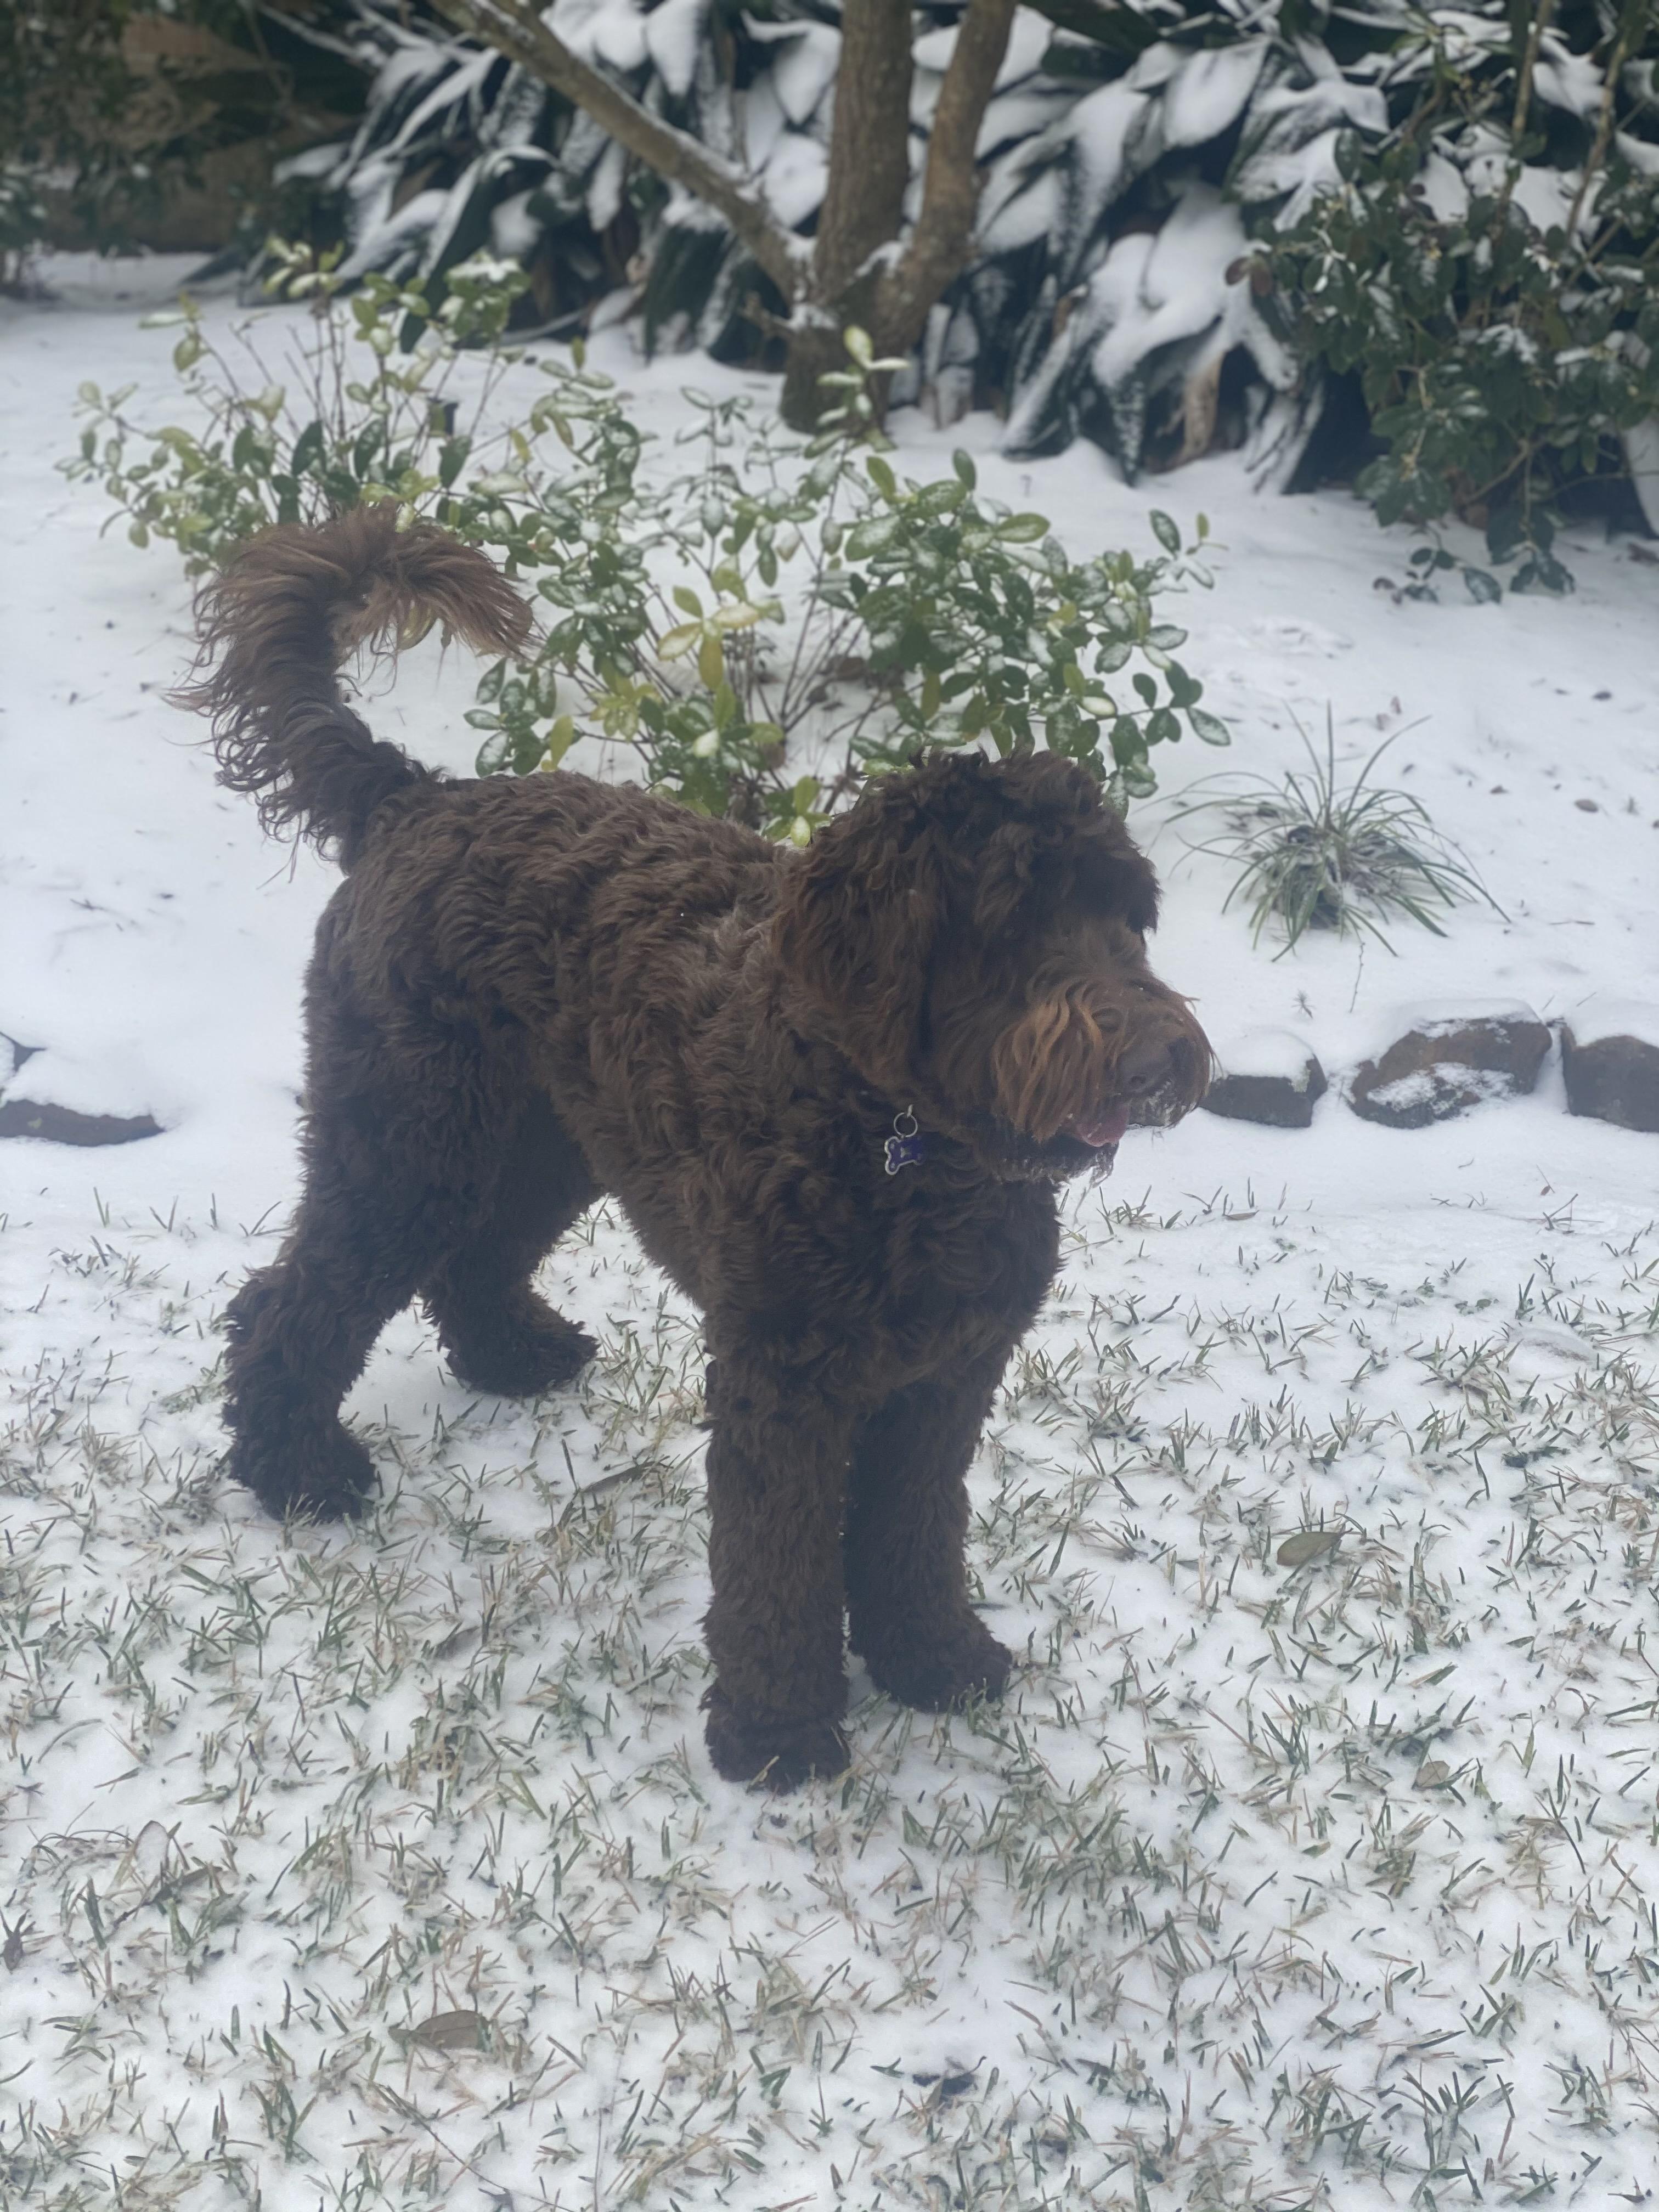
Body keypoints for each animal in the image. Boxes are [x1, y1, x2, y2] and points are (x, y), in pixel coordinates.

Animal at [182, 504, 1211, 1788]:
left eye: (1128, 915)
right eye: (1013, 917)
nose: (1161, 1063)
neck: (898, 1143)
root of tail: (418, 797)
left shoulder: (945, 1381)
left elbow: (916, 1530)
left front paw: (934, 1659)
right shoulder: (783, 1382)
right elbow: (776, 1561)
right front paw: (778, 1734)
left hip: (546, 1140)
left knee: (465, 1262)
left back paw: (510, 1358)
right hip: (408, 1134)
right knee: (298, 1296)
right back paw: (298, 1469)